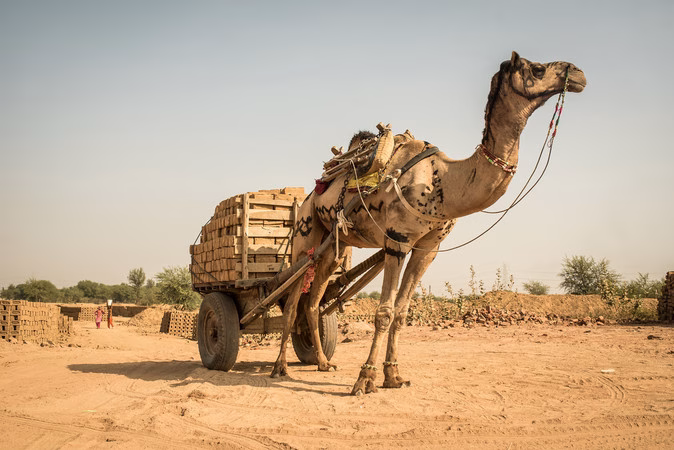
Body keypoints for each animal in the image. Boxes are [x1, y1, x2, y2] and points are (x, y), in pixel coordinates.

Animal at [270, 52, 586, 395]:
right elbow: (384, 312)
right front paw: (365, 380)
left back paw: (323, 363)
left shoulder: (427, 248)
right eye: (538, 68)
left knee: (313, 302)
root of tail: (309, 195)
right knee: (291, 302)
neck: (442, 181)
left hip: (334, 248)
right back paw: (279, 367)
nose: (578, 73)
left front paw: (394, 376)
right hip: (306, 236)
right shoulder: (397, 239)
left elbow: (402, 312)